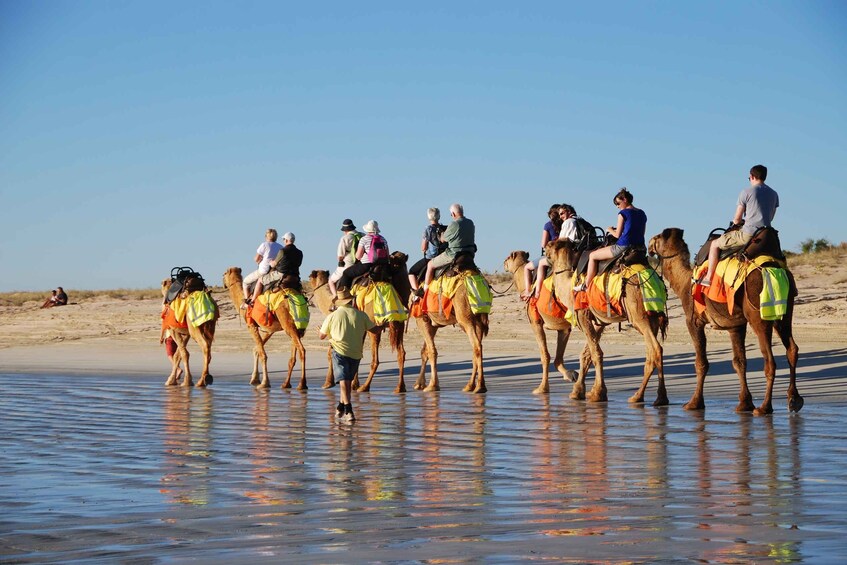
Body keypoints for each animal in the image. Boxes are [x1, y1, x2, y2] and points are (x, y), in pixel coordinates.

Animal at [306, 251, 410, 392]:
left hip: (375, 326)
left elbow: (330, 351)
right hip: (399, 324)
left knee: (375, 359)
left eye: (310, 277)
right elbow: (356, 352)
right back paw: (400, 387)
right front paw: (353, 383)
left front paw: (328, 383)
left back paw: (365, 387)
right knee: (401, 354)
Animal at [500, 251, 580, 392]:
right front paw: (570, 374)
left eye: (508, 257)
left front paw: (542, 388)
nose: (504, 263)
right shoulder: (564, 328)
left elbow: (545, 355)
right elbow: (558, 358)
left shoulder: (535, 322)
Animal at [548, 238, 672, 406]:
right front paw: (579, 391)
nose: (544, 249)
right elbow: (587, 354)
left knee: (655, 349)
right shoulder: (599, 321)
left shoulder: (583, 315)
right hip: (652, 316)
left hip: (638, 315)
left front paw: (598, 393)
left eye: (550, 245)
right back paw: (657, 397)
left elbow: (596, 353)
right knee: (651, 352)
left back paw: (641, 396)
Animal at [644, 226, 804, 414]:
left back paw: (764, 407)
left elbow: (701, 363)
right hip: (784, 312)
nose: (649, 245)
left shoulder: (693, 321)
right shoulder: (736, 326)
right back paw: (794, 399)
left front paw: (694, 403)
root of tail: (775, 270)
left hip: (758, 314)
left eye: (658, 237)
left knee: (769, 359)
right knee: (792, 349)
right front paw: (744, 403)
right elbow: (739, 362)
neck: (685, 283)